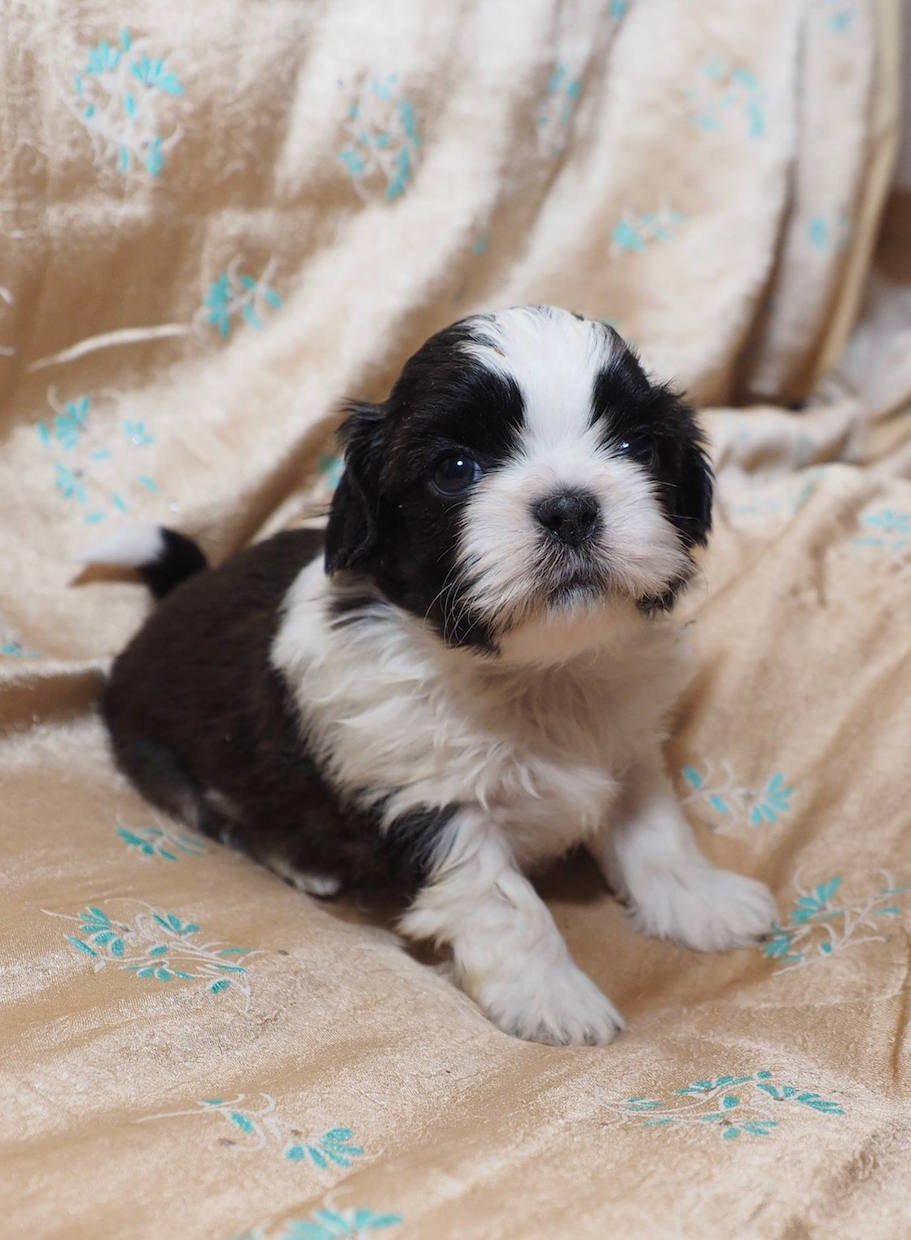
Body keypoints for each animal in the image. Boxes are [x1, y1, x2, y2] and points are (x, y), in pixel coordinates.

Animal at [92, 305, 777, 1045]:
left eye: (634, 447)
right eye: (455, 468)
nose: (570, 506)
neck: (535, 671)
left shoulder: (626, 747)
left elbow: (657, 833)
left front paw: (702, 902)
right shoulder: (422, 797)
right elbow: (505, 903)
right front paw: (551, 998)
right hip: (166, 761)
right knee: (221, 814)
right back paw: (300, 863)